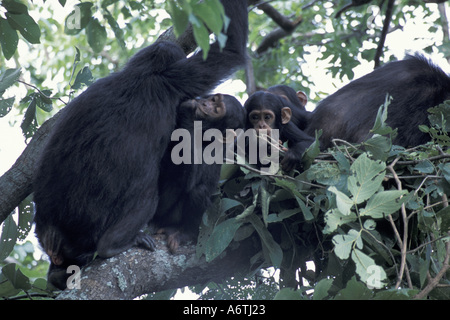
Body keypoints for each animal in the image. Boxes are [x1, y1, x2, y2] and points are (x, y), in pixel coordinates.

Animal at [155, 94, 246, 254]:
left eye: (217, 110)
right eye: (213, 100)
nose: (204, 104)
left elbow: (187, 179)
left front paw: (188, 110)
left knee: (199, 191)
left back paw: (184, 233)